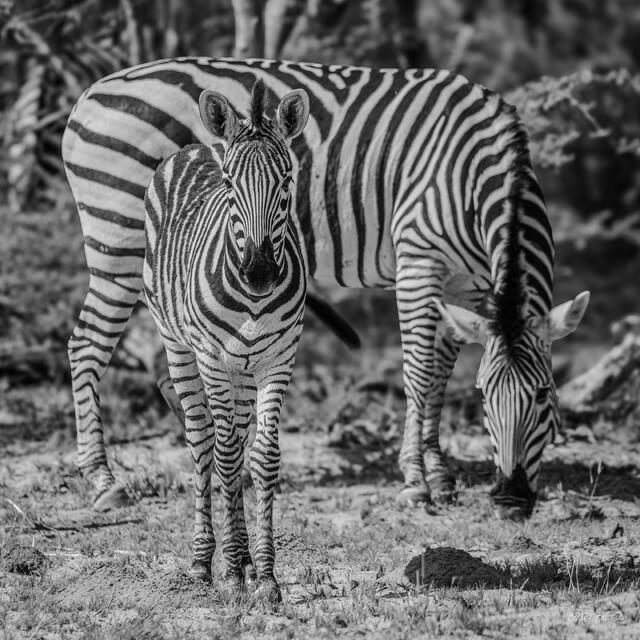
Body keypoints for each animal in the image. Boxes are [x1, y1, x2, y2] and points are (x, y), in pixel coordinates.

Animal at [62, 57, 589, 519]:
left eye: (544, 395)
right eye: (485, 398)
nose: (511, 503)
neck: (477, 174)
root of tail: (91, 91)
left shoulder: (467, 285)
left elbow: (440, 374)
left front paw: (440, 475)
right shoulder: (419, 261)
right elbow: (419, 373)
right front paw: (415, 481)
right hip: (118, 242)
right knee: (85, 346)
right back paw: (104, 482)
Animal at [143, 80, 309, 602]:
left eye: (286, 183)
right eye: (232, 186)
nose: (259, 274)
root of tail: (196, 146)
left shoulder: (280, 358)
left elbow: (261, 456)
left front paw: (266, 575)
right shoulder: (212, 359)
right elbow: (226, 454)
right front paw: (234, 572)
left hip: (242, 368)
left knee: (231, 437)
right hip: (181, 347)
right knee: (203, 442)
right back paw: (202, 562)